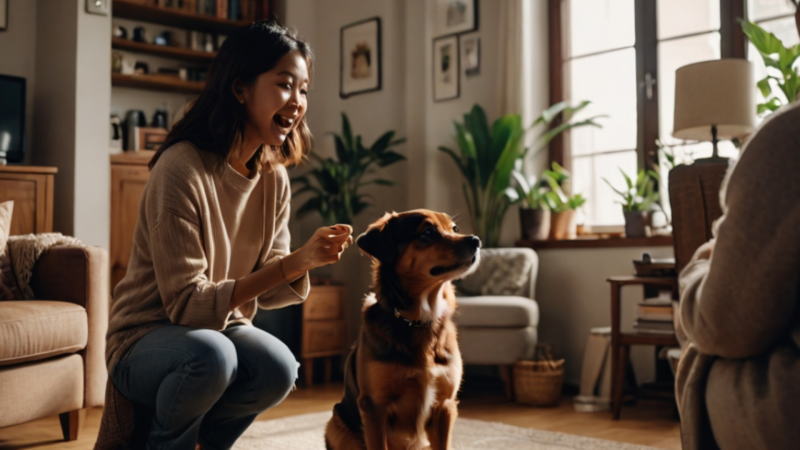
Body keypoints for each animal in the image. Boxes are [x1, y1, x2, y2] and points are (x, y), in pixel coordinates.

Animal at [324, 211, 482, 450]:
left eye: (454, 228)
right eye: (427, 232)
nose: (476, 240)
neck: (418, 320)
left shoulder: (445, 405)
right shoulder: (374, 406)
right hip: (336, 425)